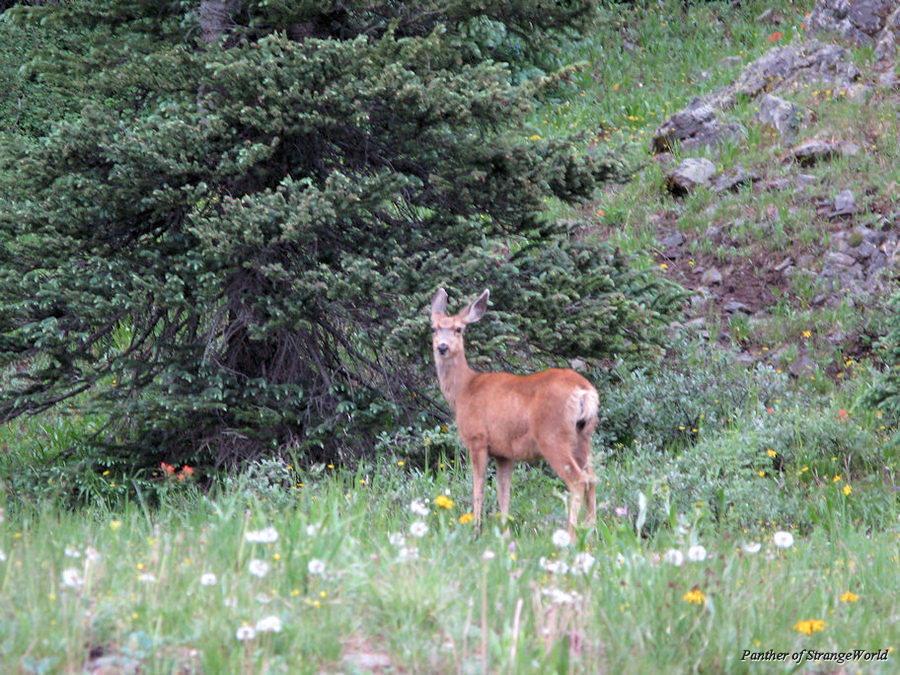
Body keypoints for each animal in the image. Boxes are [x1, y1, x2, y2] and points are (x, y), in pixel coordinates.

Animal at [429, 288, 599, 535]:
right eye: (433, 328)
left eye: (458, 329)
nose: (442, 347)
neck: (464, 390)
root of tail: (585, 392)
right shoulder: (504, 453)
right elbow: (504, 494)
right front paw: (505, 533)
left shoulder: (477, 439)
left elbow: (478, 488)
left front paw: (476, 530)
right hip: (584, 435)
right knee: (593, 478)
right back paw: (591, 531)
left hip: (552, 434)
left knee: (578, 480)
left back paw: (571, 533)